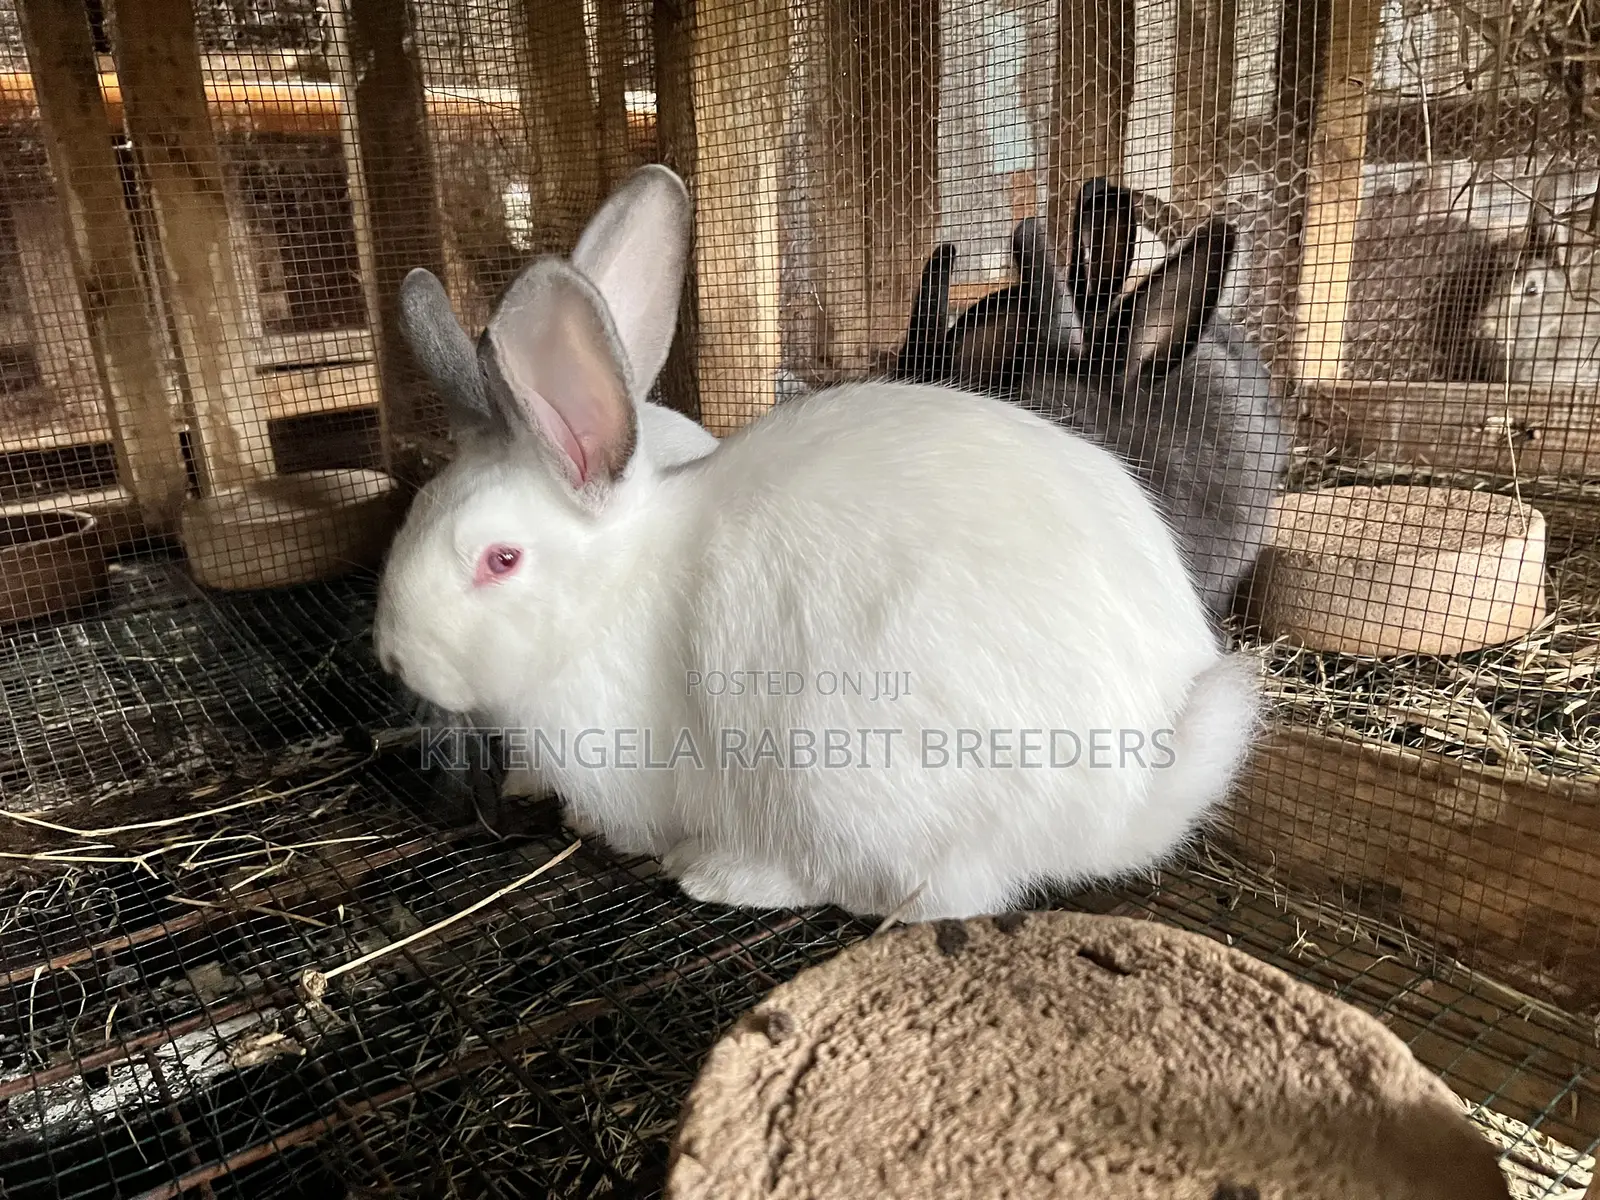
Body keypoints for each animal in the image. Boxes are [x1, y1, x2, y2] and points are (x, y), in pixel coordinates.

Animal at [373, 163, 1262, 923]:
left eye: (501, 560)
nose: (393, 658)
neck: (612, 593)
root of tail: (1120, 808)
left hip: (839, 779)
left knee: (911, 892)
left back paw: (721, 873)